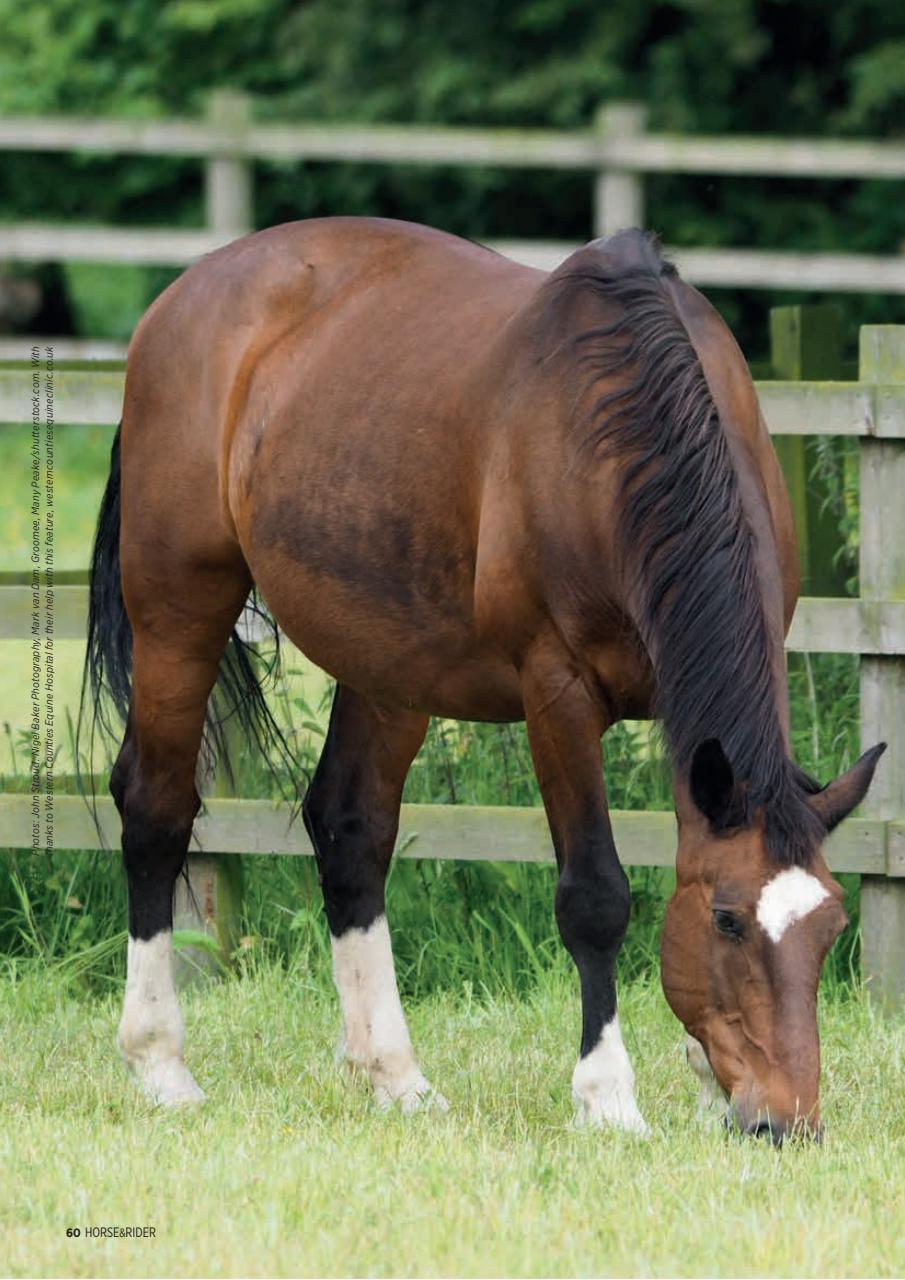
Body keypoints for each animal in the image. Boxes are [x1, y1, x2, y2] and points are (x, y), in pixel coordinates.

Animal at [81, 217, 884, 1141]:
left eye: (828, 926)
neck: (619, 445)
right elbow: (595, 896)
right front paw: (607, 1099)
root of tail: (189, 293)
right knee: (156, 810)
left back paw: (393, 1075)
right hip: (178, 609)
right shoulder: (557, 694)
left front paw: (707, 1080)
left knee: (350, 829)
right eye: (725, 922)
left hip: (386, 658)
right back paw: (160, 1063)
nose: (784, 1123)